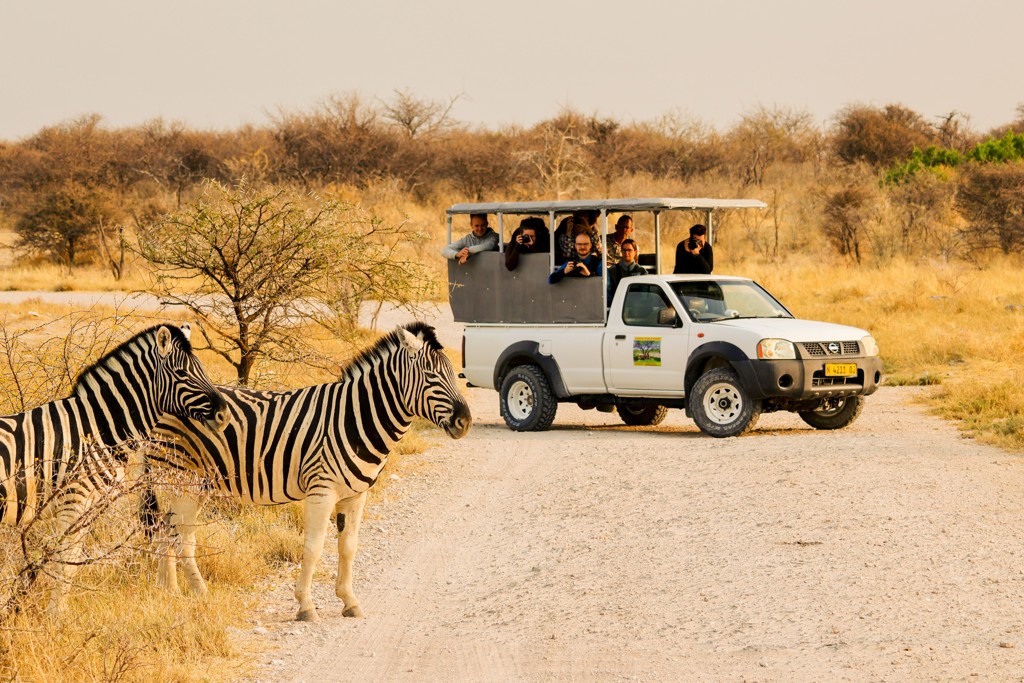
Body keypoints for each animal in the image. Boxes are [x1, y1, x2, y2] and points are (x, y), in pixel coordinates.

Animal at [0, 323, 229, 612]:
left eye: (202, 368)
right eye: (182, 373)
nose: (224, 415)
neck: (96, 428)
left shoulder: (87, 506)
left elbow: (70, 563)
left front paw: (57, 612)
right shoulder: (73, 501)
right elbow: (64, 562)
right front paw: (56, 616)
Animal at [145, 321, 472, 621]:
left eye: (454, 374)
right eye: (431, 376)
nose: (465, 422)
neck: (355, 418)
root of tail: (160, 402)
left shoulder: (356, 495)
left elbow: (348, 547)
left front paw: (349, 601)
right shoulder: (321, 491)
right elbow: (313, 548)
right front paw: (306, 606)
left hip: (192, 483)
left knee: (166, 529)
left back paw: (168, 592)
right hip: (180, 480)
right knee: (181, 538)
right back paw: (200, 594)